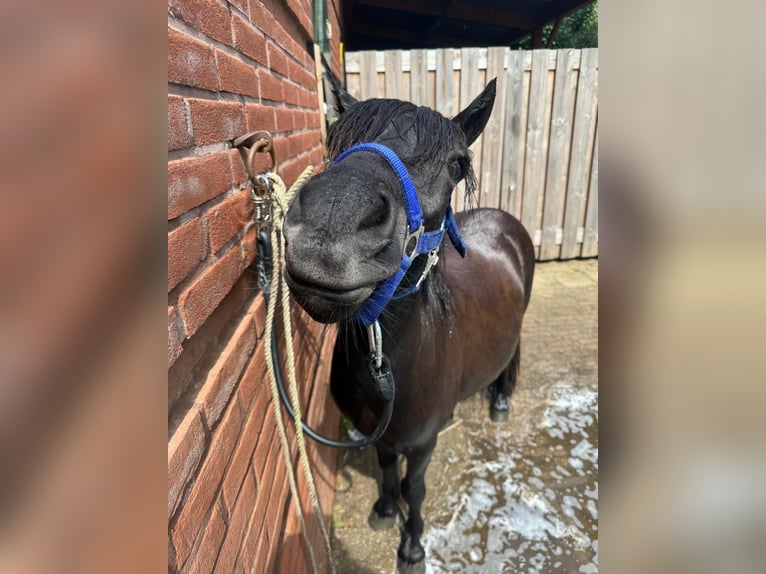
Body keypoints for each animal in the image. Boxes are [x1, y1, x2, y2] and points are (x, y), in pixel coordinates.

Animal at [282, 78, 535, 566]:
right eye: (336, 139)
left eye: (457, 165)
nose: (332, 220)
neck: (388, 369)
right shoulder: (377, 434)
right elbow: (385, 468)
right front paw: (384, 507)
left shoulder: (422, 445)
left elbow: (414, 489)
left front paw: (413, 546)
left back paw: (499, 403)